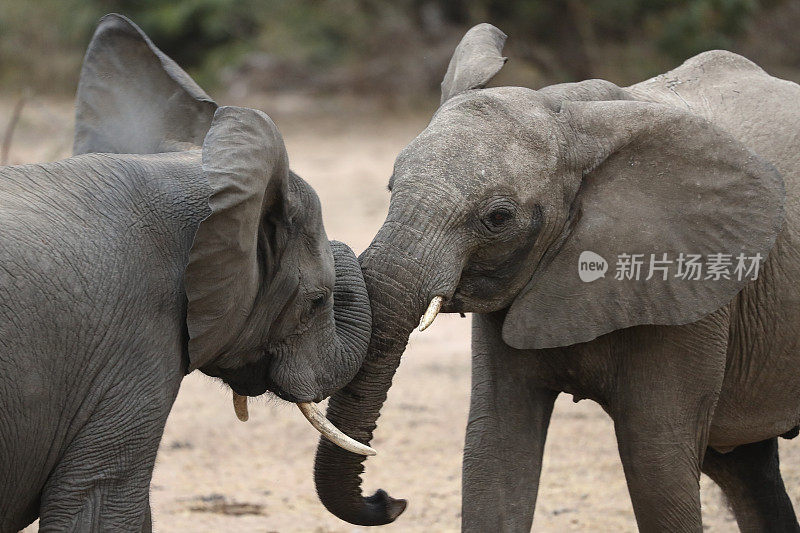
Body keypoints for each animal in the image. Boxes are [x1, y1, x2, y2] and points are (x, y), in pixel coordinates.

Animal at [310, 22, 800, 528]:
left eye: (498, 217)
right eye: (391, 187)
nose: (389, 499)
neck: (568, 113)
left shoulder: (691, 295)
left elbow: (657, 466)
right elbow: (494, 454)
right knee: (745, 466)